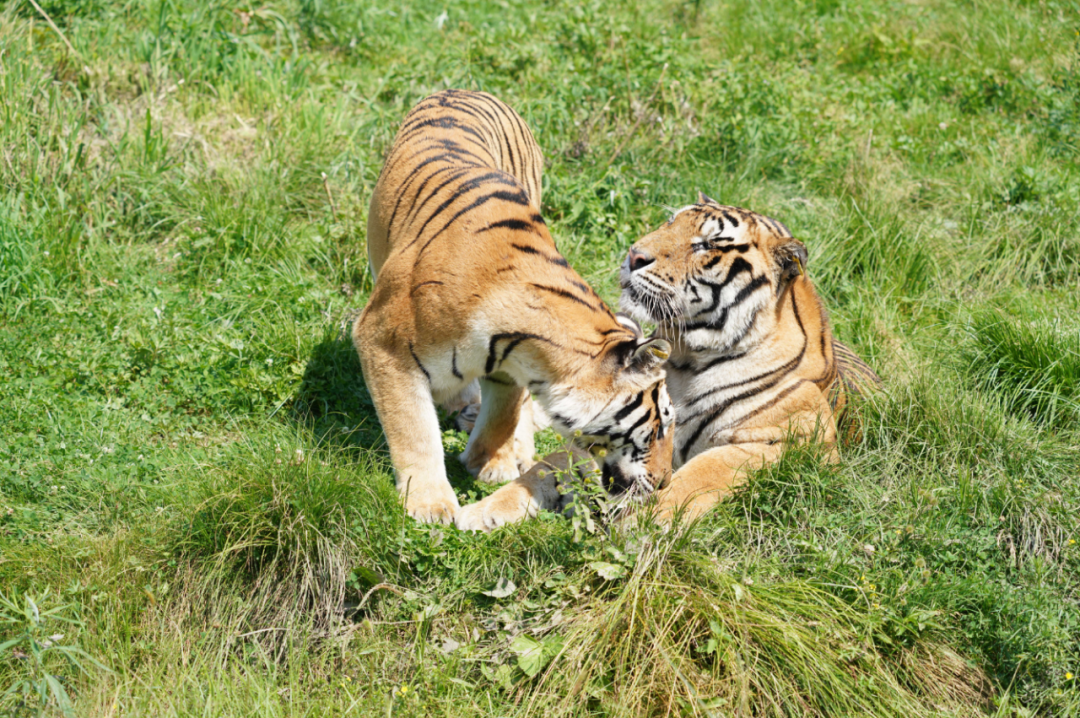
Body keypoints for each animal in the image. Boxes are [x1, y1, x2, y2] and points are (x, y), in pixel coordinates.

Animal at [354, 91, 673, 526]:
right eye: (658, 429)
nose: (665, 481)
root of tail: (468, 90)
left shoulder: (511, 365)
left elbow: (504, 413)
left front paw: (491, 463)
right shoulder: (383, 343)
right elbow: (414, 429)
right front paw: (430, 505)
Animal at [460, 193, 881, 529]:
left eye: (707, 244)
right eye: (669, 223)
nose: (634, 255)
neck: (688, 356)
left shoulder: (787, 443)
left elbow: (702, 473)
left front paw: (640, 523)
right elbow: (544, 469)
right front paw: (480, 511)